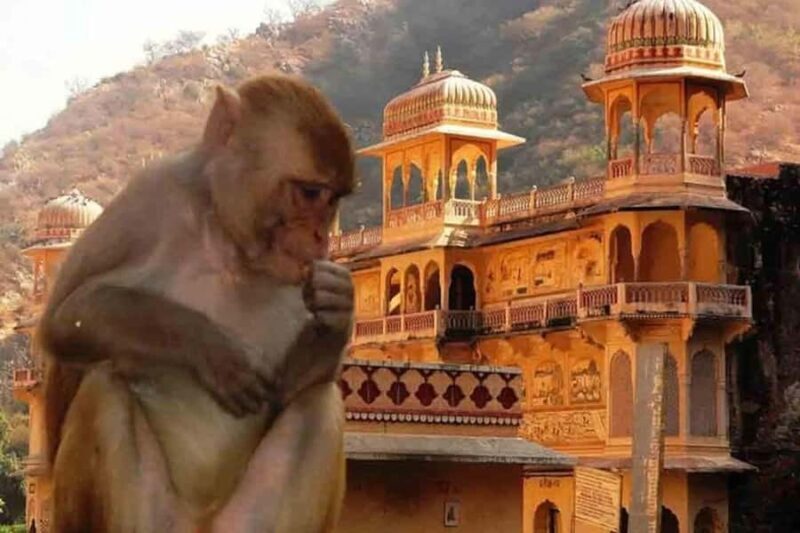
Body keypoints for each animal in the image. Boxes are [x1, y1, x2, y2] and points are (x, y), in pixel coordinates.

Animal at [37, 75, 356, 532]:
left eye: (334, 201)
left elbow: (286, 392)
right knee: (103, 387)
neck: (227, 240)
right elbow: (64, 320)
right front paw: (211, 349)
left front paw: (338, 308)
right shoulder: (152, 193)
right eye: (311, 193)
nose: (320, 237)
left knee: (318, 401)